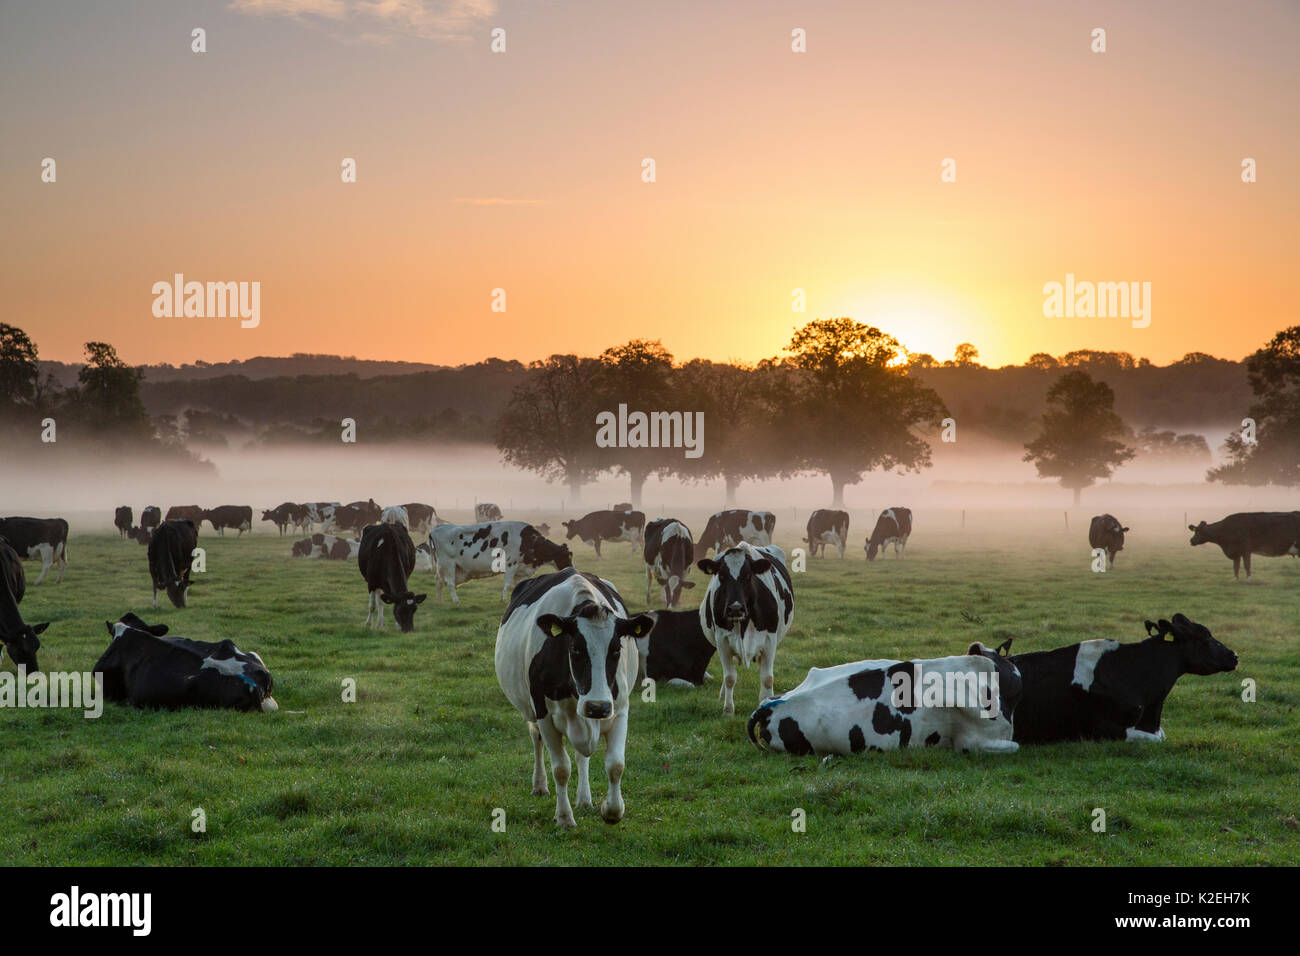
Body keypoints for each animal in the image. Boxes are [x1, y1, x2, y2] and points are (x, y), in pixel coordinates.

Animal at [430, 521, 573, 605]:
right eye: (567, 556)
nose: (572, 570)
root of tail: (436, 528)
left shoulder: (521, 570)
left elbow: (520, 585)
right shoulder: (511, 564)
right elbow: (507, 584)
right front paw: (504, 600)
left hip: (444, 566)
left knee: (438, 580)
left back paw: (439, 601)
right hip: (448, 563)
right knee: (449, 582)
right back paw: (456, 601)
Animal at [494, 567, 654, 827]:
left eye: (616, 650)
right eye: (575, 649)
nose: (597, 707)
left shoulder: (619, 710)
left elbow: (615, 765)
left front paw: (612, 810)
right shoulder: (544, 714)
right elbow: (561, 769)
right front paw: (564, 817)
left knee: (582, 757)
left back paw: (585, 799)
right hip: (531, 709)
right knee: (536, 739)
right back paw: (540, 785)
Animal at [697, 542, 795, 715]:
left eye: (748, 576)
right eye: (721, 576)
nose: (735, 608)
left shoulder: (770, 640)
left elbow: (767, 678)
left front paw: (766, 703)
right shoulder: (722, 641)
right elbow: (729, 677)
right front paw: (728, 710)